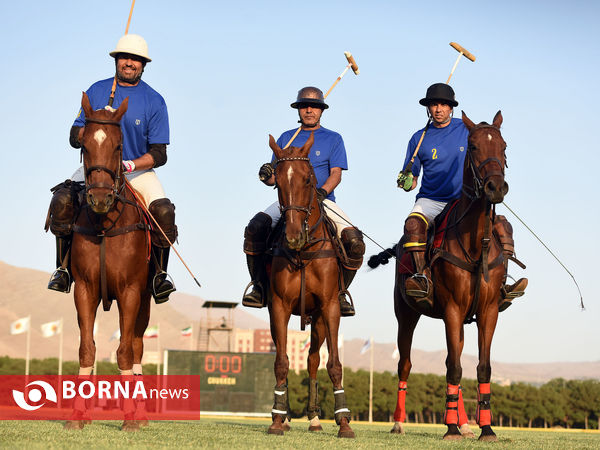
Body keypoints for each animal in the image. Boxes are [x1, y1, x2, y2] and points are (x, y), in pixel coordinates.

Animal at [64, 92, 150, 432]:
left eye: (117, 145)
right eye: (84, 144)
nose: (99, 198)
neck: (105, 224)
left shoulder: (131, 292)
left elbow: (125, 351)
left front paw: (130, 419)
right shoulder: (84, 290)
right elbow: (86, 348)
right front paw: (76, 416)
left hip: (145, 302)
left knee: (137, 345)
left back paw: (140, 414)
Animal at [264, 133, 354, 436]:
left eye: (307, 179)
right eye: (277, 182)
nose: (293, 236)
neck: (304, 251)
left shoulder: (329, 306)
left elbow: (334, 363)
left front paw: (344, 422)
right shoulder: (279, 306)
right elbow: (281, 362)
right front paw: (278, 418)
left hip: (318, 319)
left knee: (313, 360)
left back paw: (315, 418)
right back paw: (288, 416)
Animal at [372, 110, 508, 442]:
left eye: (504, 147)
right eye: (472, 147)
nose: (495, 187)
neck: (476, 244)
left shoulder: (488, 310)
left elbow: (481, 367)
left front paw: (486, 428)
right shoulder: (452, 308)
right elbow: (453, 367)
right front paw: (450, 429)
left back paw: (465, 423)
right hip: (405, 312)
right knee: (405, 363)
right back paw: (399, 422)